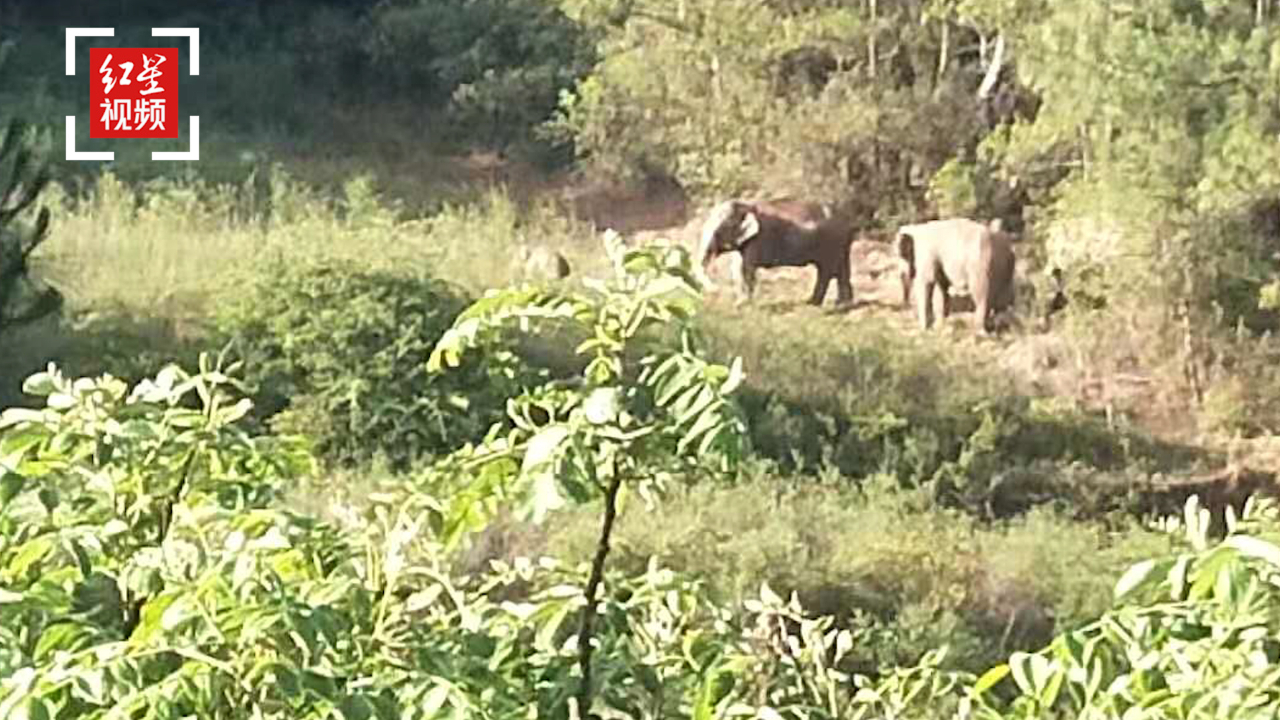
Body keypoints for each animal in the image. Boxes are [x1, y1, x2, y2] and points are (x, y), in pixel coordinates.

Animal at [696, 197, 855, 307]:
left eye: (719, 231)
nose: (716, 290)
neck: (746, 205)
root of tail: (846, 218)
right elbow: (737, 268)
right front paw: (740, 303)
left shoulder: (758, 238)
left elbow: (745, 269)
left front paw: (743, 305)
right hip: (839, 243)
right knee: (840, 268)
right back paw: (841, 304)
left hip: (831, 241)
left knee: (826, 271)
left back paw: (817, 304)